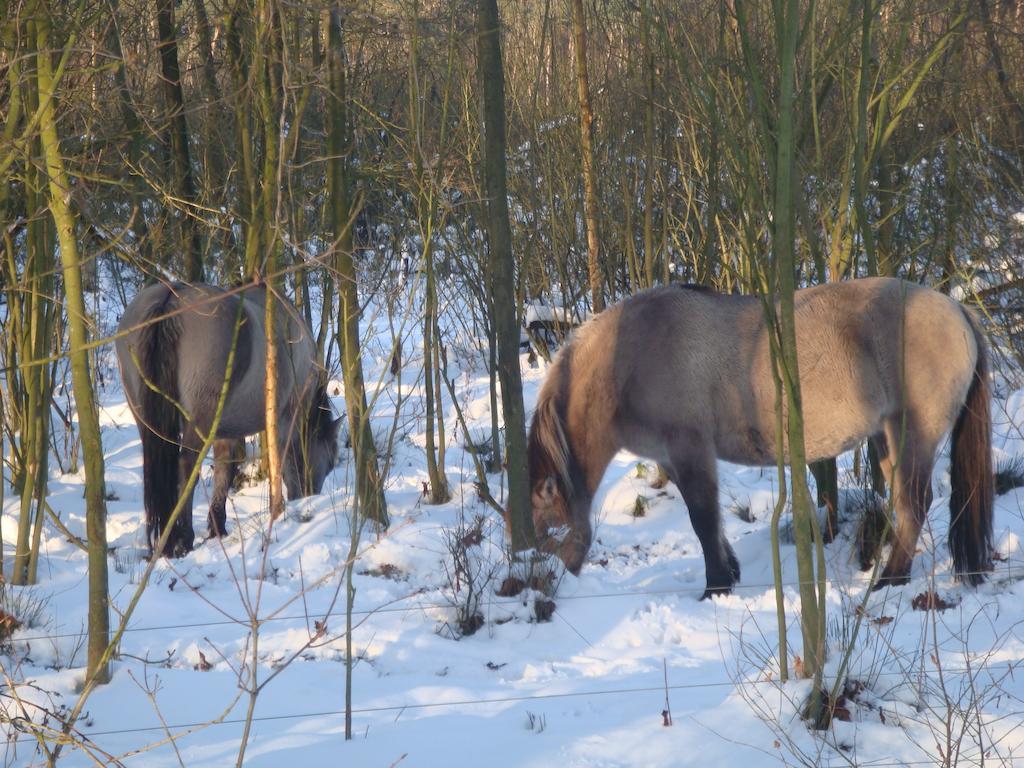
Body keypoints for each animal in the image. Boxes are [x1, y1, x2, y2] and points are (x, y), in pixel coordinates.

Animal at [115, 280, 339, 557]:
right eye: (330, 460)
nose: (312, 495)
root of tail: (171, 298)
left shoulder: (227, 431)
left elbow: (225, 471)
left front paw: (217, 526)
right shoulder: (287, 417)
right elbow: (286, 462)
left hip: (145, 416)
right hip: (201, 417)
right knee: (187, 467)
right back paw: (182, 537)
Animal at [528, 278, 991, 602]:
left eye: (544, 527)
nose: (542, 587)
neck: (631, 354)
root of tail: (956, 308)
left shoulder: (691, 450)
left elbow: (702, 518)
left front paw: (716, 588)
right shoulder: (675, 459)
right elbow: (710, 520)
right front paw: (729, 573)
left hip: (912, 435)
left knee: (914, 504)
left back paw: (889, 580)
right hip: (885, 441)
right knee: (905, 503)